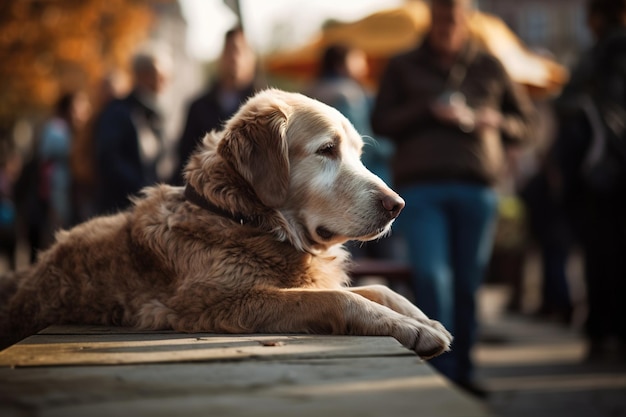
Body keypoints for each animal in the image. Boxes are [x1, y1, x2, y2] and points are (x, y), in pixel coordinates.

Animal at [0, 88, 448, 358]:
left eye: (357, 153)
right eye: (327, 150)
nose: (398, 205)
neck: (244, 218)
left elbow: (378, 289)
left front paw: (422, 320)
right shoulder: (216, 301)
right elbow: (338, 299)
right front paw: (410, 328)